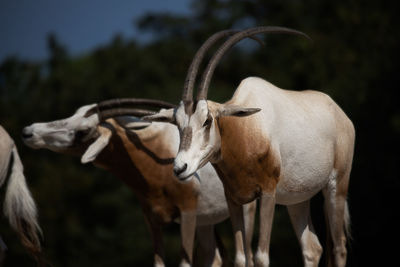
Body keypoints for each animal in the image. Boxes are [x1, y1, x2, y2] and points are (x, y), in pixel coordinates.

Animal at [21, 99, 256, 267]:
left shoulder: (187, 213)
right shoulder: (152, 219)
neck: (156, 156)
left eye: (83, 131)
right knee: (212, 257)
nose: (29, 132)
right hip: (206, 221)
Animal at [142, 26, 354, 267]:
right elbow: (242, 257)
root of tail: (339, 113)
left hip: (336, 186)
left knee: (339, 247)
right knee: (312, 248)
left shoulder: (268, 193)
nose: (180, 168)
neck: (244, 131)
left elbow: (261, 256)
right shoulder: (234, 198)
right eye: (177, 123)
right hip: (297, 199)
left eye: (207, 120)